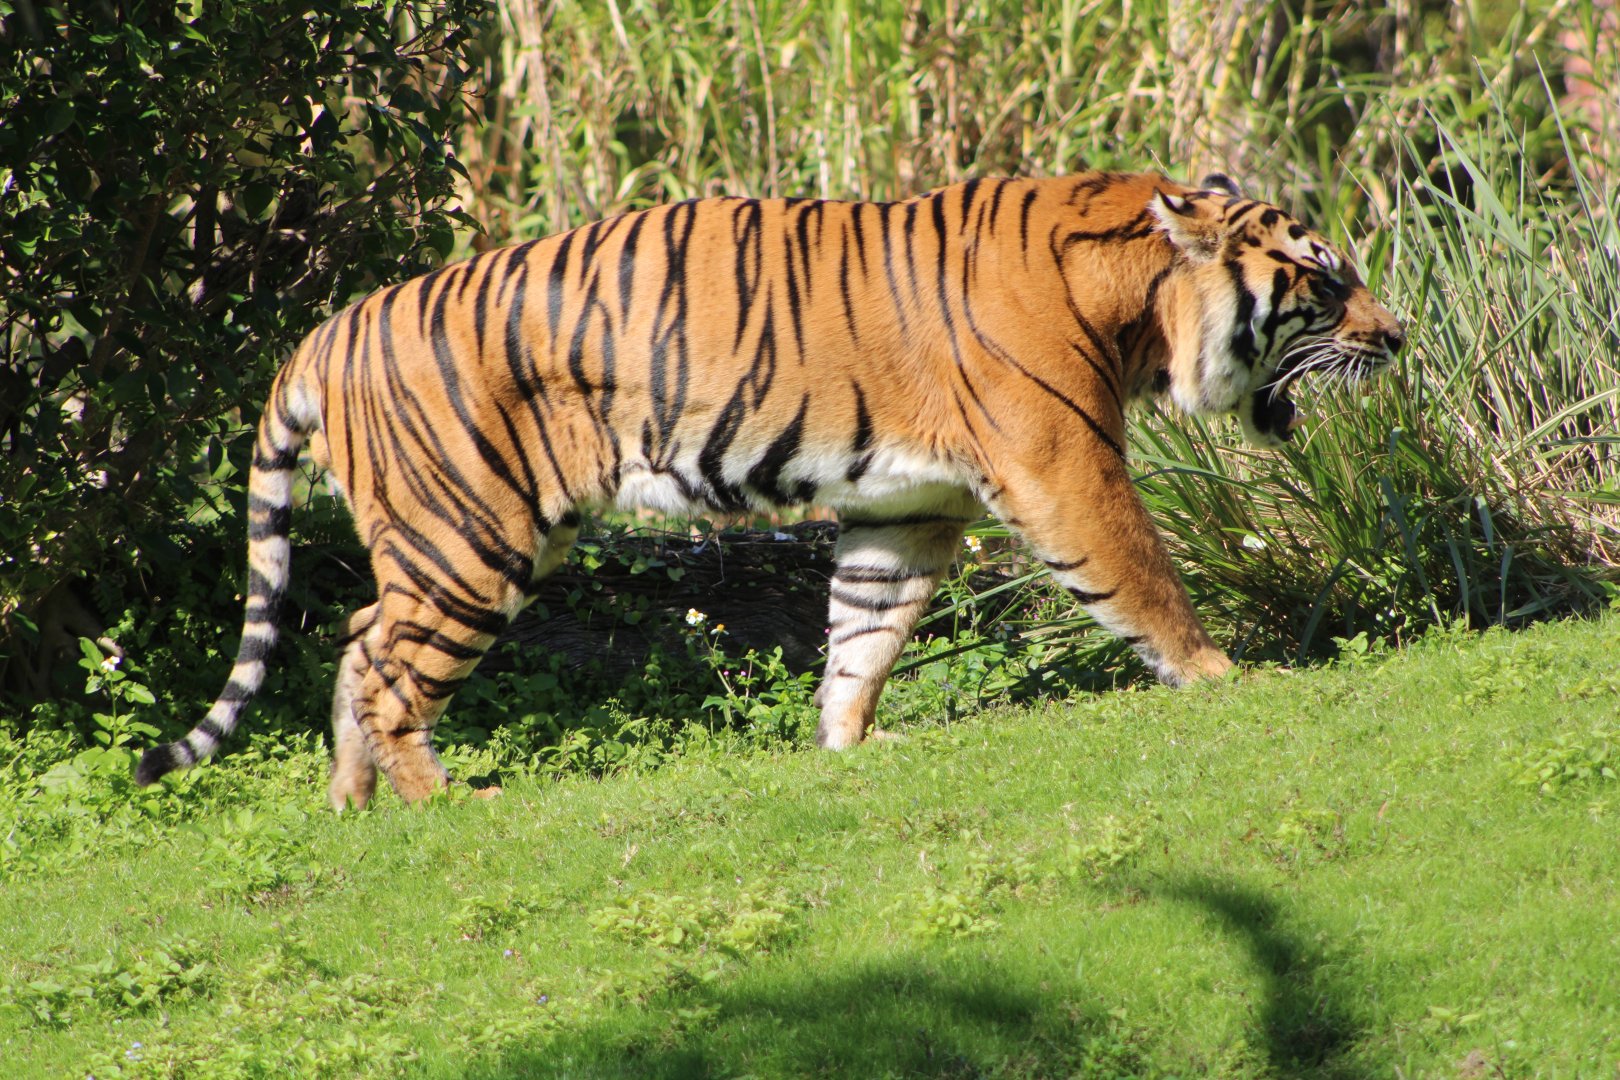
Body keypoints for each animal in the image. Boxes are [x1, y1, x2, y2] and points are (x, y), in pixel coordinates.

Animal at [136, 171, 1404, 810]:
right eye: (1323, 277)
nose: (1395, 335)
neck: (1138, 307)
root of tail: (325, 331)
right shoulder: (1063, 464)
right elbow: (1142, 578)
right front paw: (1225, 678)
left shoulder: (909, 505)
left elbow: (864, 630)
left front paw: (845, 745)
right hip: (470, 539)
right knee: (388, 665)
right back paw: (443, 803)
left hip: (474, 539)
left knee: (356, 639)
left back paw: (352, 808)